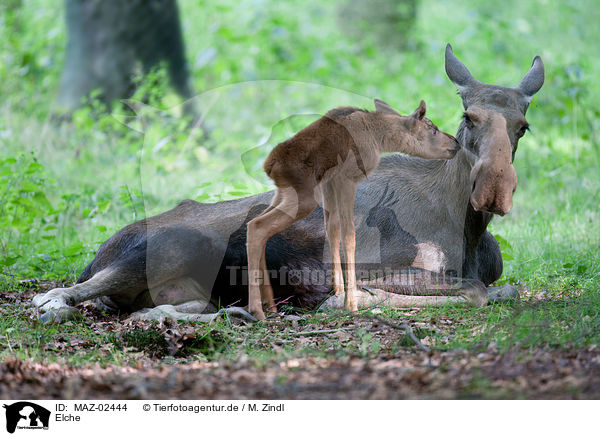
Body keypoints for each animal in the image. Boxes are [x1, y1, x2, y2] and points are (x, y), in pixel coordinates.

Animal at [31, 44, 544, 324]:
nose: (492, 191)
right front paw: (349, 301)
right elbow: (475, 291)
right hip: (167, 246)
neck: (469, 230)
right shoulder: (383, 265)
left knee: (150, 309)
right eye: (468, 116)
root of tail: (100, 251)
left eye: (523, 125)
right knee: (57, 295)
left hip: (190, 286)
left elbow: (503, 289)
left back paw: (234, 312)